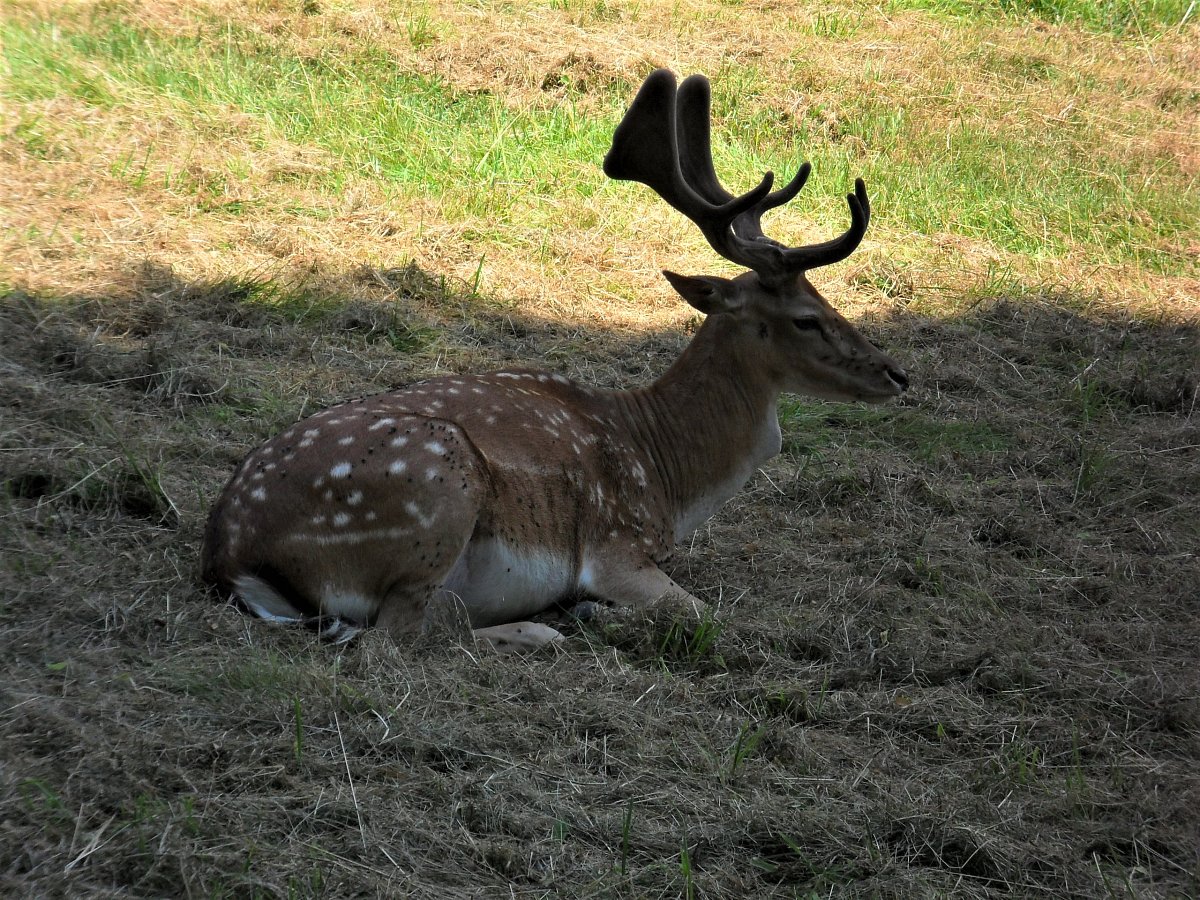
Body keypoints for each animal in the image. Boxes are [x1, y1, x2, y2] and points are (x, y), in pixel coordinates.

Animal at [199, 68, 907, 648]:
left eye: (827, 298)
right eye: (806, 318)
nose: (897, 374)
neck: (670, 480)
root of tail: (230, 554)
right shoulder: (617, 549)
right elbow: (704, 613)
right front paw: (599, 614)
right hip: (436, 485)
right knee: (400, 634)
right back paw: (545, 628)